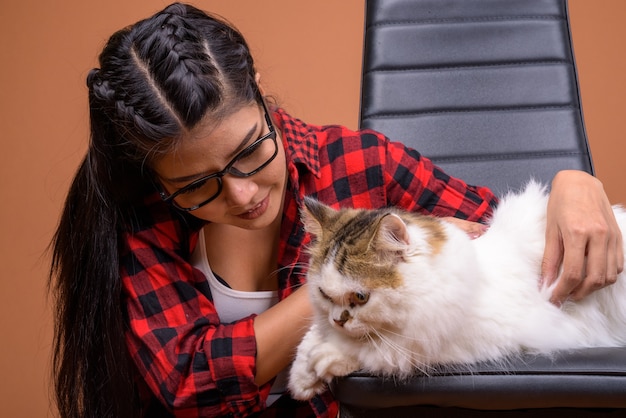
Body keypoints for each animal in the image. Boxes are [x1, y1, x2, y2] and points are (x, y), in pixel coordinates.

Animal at [288, 181, 624, 400]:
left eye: (360, 297)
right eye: (324, 294)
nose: (338, 320)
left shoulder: (459, 338)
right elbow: (309, 339)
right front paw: (302, 379)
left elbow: (378, 351)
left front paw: (327, 358)